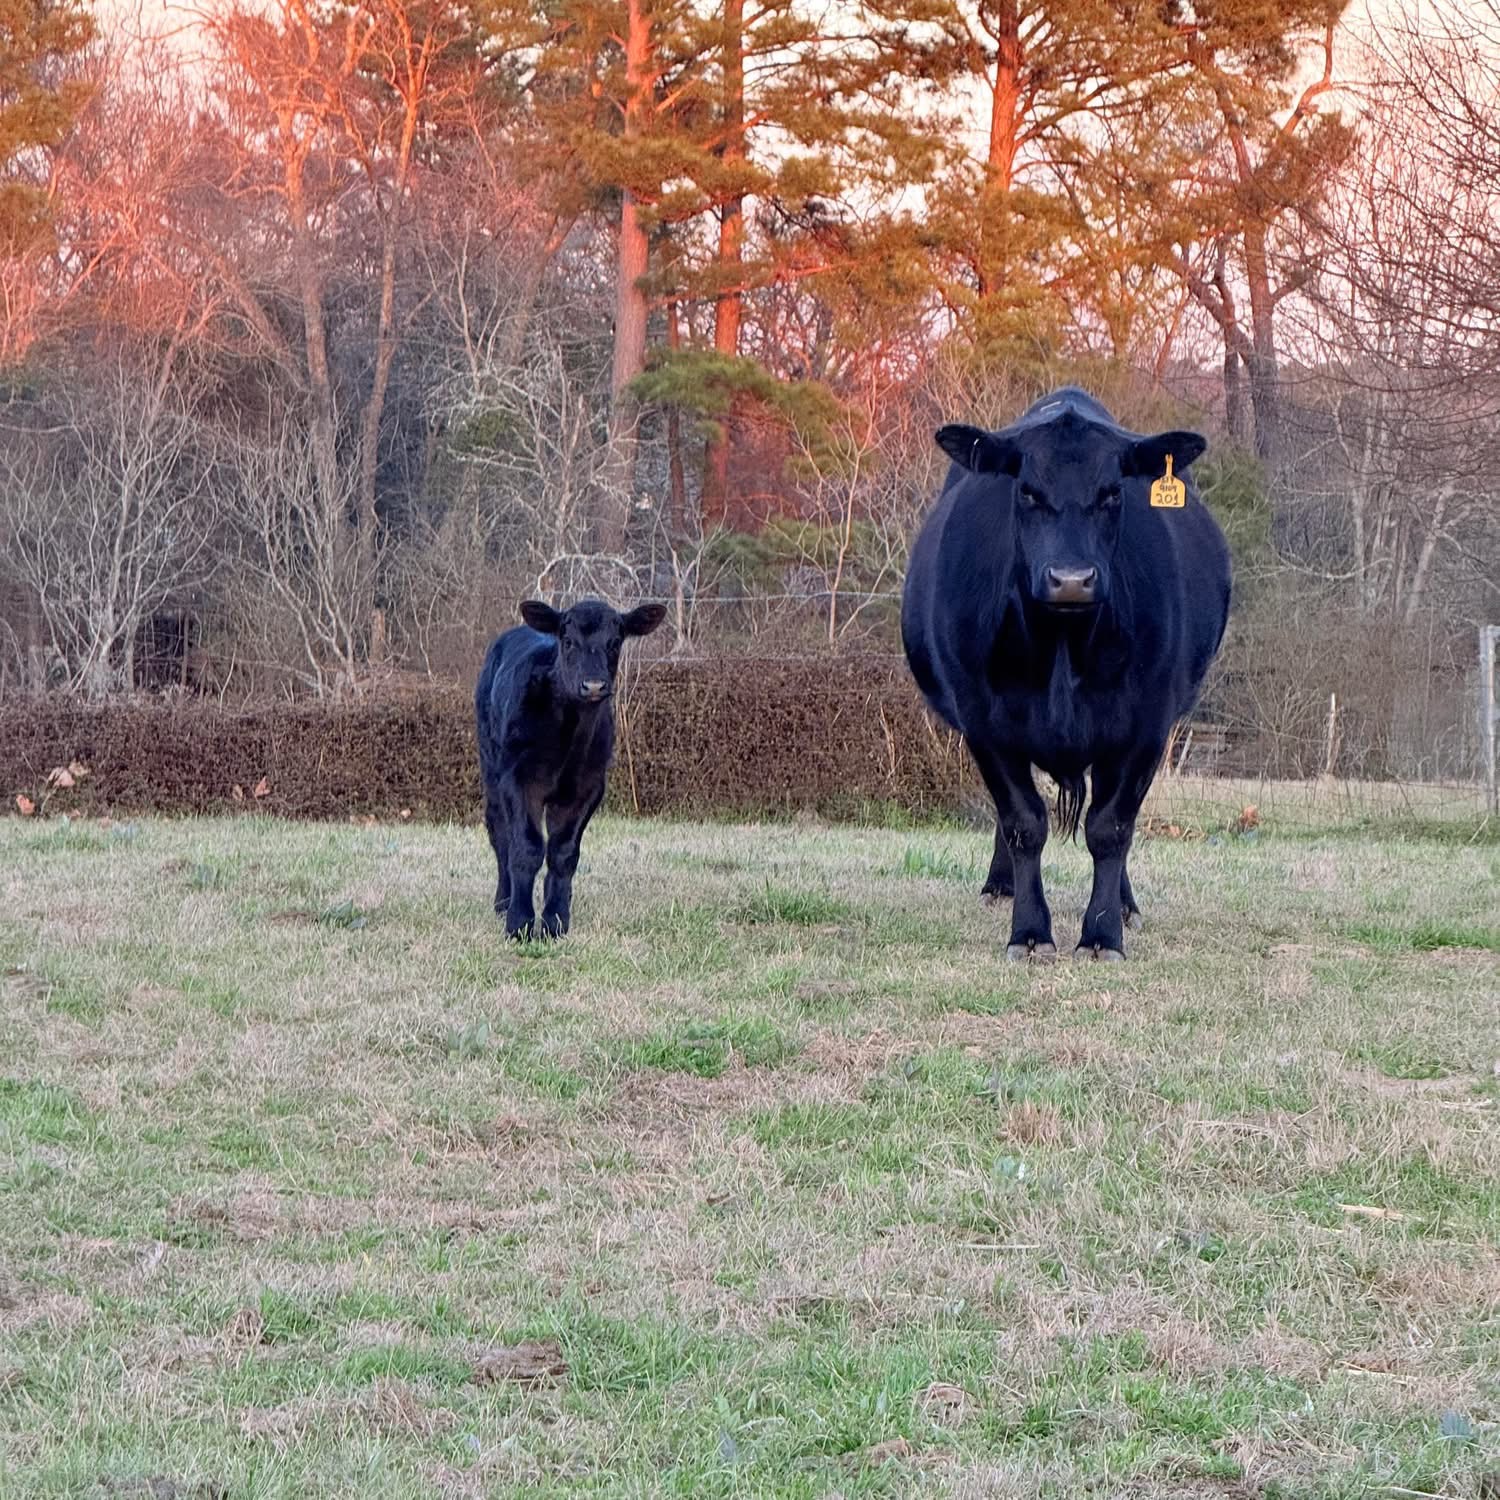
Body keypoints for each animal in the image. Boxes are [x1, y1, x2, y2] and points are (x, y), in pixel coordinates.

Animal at [475, 597, 666, 939]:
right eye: (568, 642)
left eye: (615, 642)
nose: (593, 685)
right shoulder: (518, 780)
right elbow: (526, 847)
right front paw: (520, 923)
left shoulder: (588, 787)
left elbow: (563, 853)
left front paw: (555, 920)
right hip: (491, 767)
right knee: (500, 834)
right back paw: (503, 901)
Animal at [901, 387, 1231, 961]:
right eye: (1028, 492)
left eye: (1113, 493)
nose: (1071, 579)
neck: (1063, 644)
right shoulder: (985, 722)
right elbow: (1023, 823)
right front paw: (1030, 931)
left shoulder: (1146, 724)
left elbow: (1111, 828)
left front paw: (1102, 933)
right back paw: (1000, 885)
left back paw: (1124, 902)